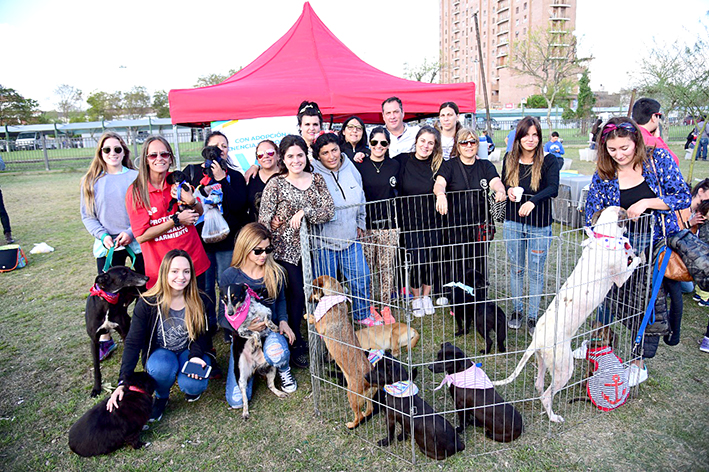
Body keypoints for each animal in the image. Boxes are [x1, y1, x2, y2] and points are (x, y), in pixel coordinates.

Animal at [85, 268, 147, 396]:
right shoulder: (94, 340)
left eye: (130, 270)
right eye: (124, 273)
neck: (106, 301)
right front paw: (96, 388)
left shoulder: (123, 332)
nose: (146, 278)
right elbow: (96, 368)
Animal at [306, 274, 378, 430]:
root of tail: (370, 381)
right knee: (369, 409)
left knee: (359, 416)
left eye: (313, 290)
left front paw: (308, 316)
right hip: (369, 397)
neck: (333, 298)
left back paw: (351, 425)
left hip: (351, 395)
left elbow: (314, 319)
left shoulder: (320, 327)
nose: (308, 301)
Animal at [492, 208, 640, 422]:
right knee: (546, 395)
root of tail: (536, 340)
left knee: (539, 385)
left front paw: (629, 247)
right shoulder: (620, 278)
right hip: (564, 368)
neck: (604, 238)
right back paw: (554, 417)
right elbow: (632, 264)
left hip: (543, 360)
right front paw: (637, 255)